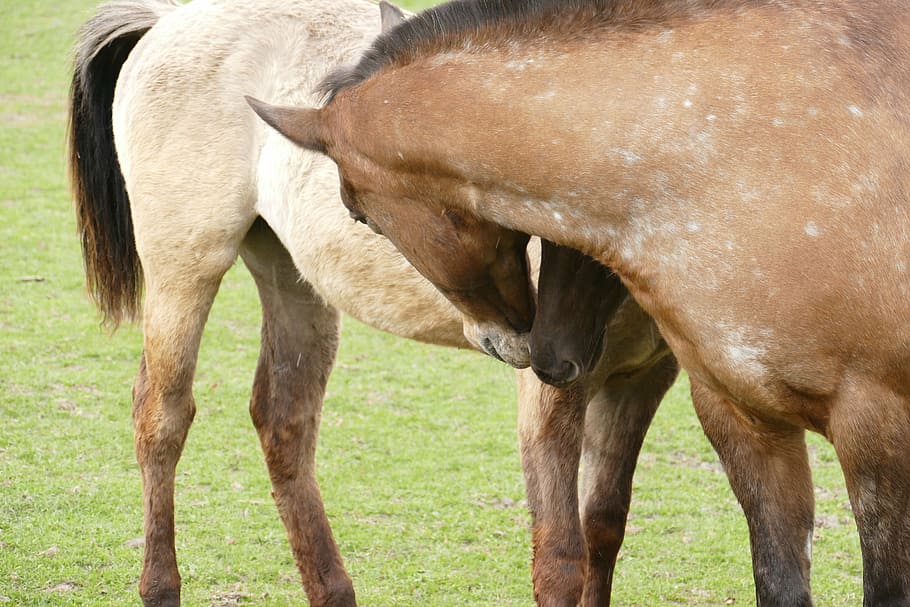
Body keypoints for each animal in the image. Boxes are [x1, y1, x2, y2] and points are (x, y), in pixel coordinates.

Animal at [67, 0, 675, 605]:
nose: (544, 341)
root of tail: (168, 19)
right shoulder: (554, 397)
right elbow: (560, 558)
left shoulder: (640, 383)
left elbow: (604, 528)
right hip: (186, 268)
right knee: (161, 417)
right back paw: (160, 585)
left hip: (291, 278)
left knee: (283, 421)